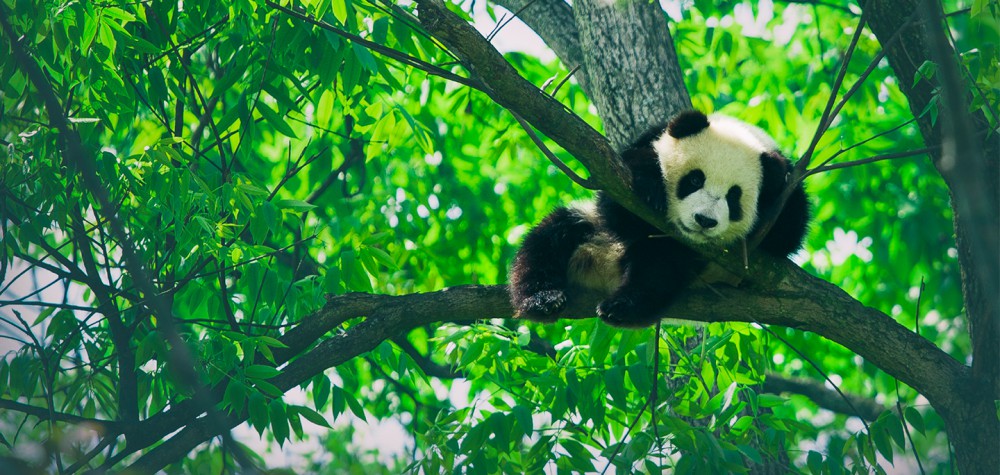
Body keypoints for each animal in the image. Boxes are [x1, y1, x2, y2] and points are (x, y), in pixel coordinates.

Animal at [509, 109, 809, 328]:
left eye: (733, 197)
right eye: (695, 180)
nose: (704, 220)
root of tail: (606, 269)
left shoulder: (786, 188)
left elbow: (788, 233)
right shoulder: (646, 141)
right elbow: (618, 200)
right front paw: (650, 185)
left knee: (658, 269)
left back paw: (621, 307)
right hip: (592, 228)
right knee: (551, 237)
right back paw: (542, 299)